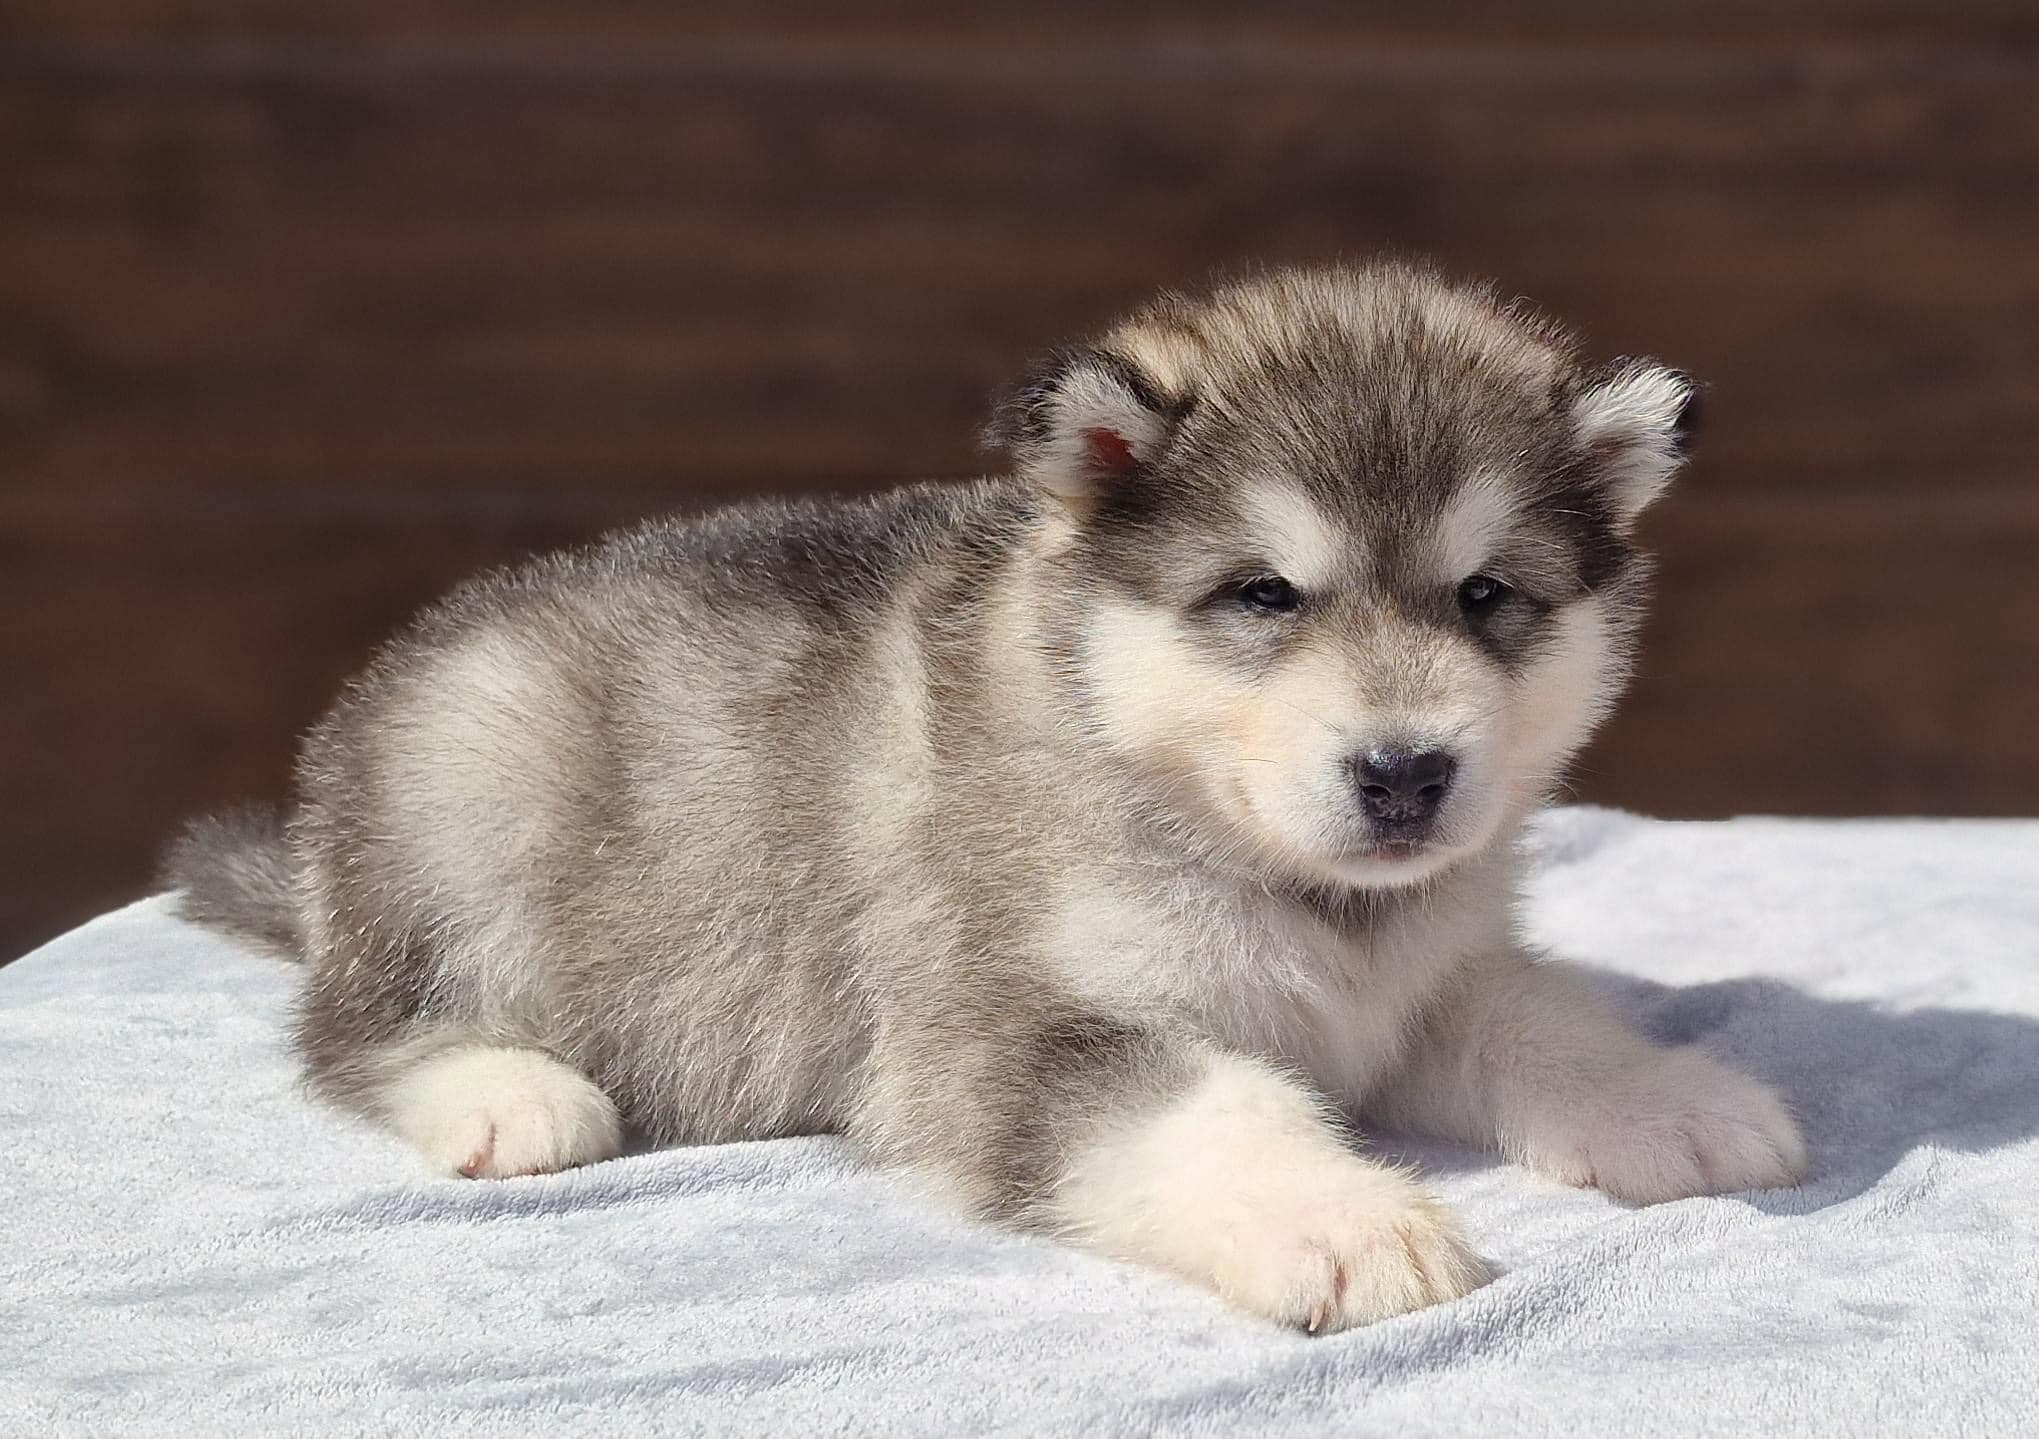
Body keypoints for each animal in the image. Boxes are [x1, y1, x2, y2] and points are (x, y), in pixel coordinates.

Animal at [171, 262, 1802, 1328]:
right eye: (1262, 593)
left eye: (1484, 595)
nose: (1404, 770)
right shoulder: (1002, 1024)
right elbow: (1208, 1102)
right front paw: (1343, 1216)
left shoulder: (1417, 975)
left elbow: (1535, 1012)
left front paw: (1669, 1094)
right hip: (471, 795)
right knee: (347, 1030)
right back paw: (506, 1090)